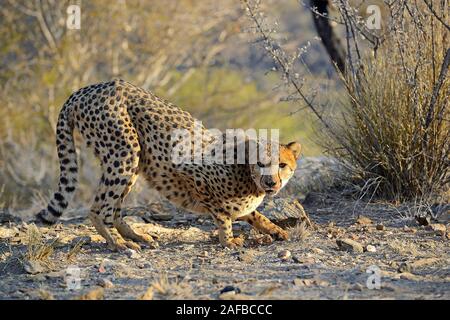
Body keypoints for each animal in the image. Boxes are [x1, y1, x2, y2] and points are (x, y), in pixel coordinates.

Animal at [36, 79, 302, 250]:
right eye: (261, 163)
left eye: (282, 165)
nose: (270, 182)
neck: (246, 174)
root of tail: (86, 89)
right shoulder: (192, 172)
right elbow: (223, 215)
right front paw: (228, 240)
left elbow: (253, 214)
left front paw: (276, 230)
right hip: (125, 152)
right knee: (99, 207)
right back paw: (119, 243)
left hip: (132, 163)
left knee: (115, 208)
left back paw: (137, 236)